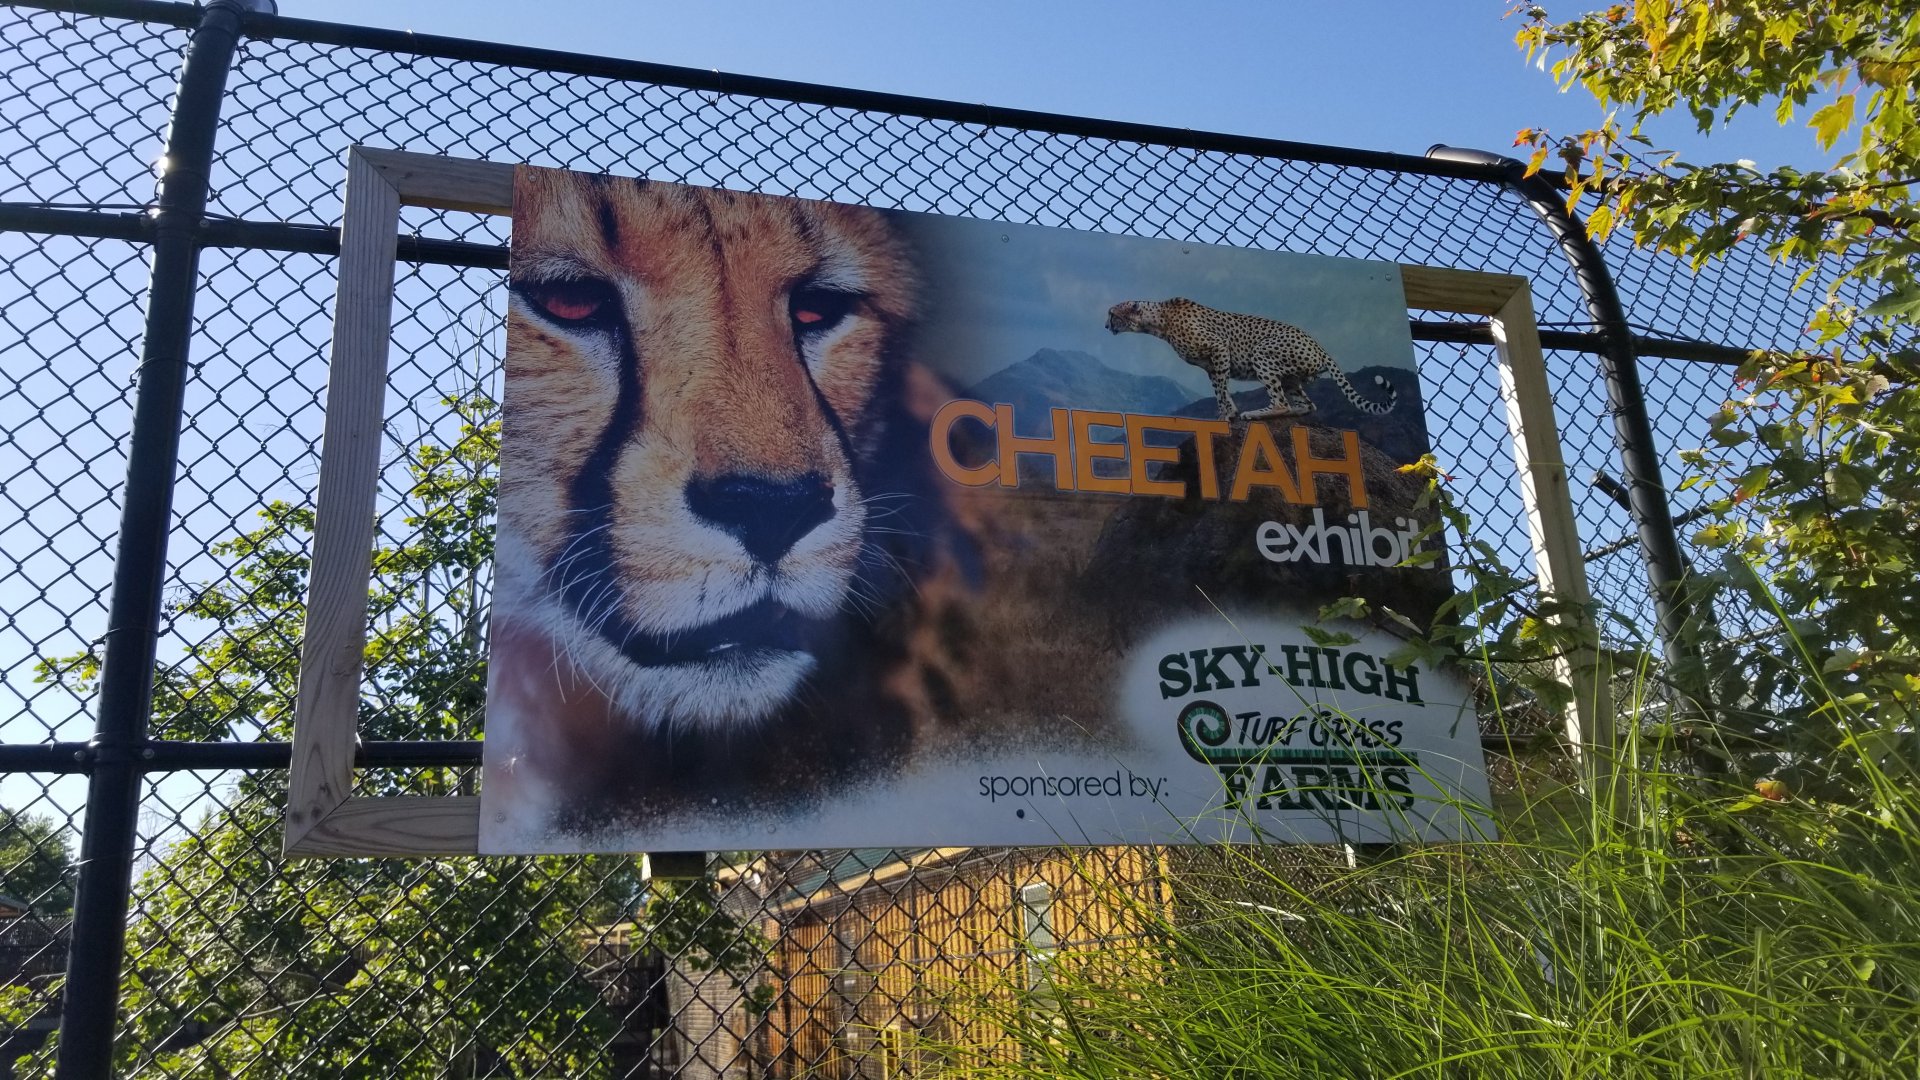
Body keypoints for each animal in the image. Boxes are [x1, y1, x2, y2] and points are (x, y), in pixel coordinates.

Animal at [1105, 297, 1398, 421]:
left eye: (1112, 314)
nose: (1106, 326)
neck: (1159, 320)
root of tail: (1318, 344)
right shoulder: (1210, 365)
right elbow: (1220, 388)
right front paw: (1227, 412)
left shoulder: (1219, 348)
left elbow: (1221, 389)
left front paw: (1227, 414)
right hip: (1291, 377)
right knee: (1307, 404)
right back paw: (1293, 412)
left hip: (1263, 353)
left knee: (1280, 402)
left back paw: (1258, 413)